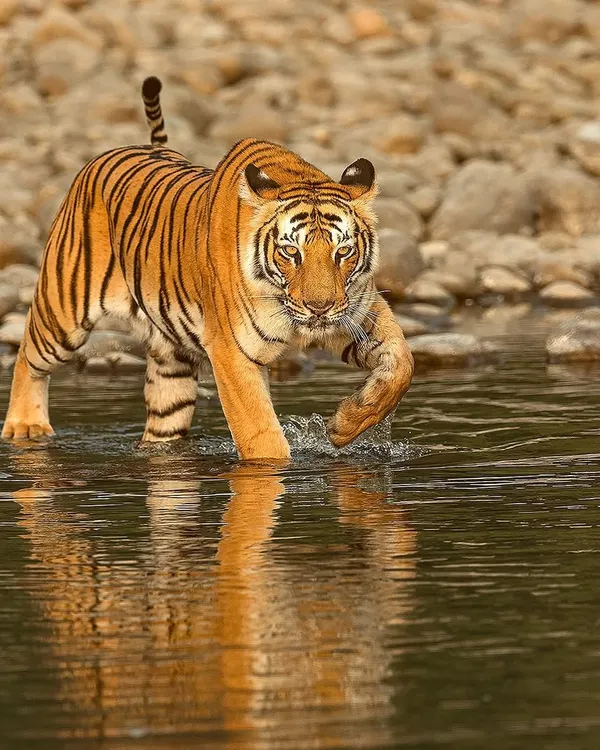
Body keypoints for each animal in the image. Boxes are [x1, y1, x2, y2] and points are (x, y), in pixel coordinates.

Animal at [2, 76, 414, 460]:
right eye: (290, 252)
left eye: (343, 251)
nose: (320, 307)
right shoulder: (232, 351)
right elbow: (260, 435)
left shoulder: (357, 311)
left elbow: (401, 364)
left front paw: (344, 426)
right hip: (62, 311)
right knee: (27, 357)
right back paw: (26, 428)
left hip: (171, 364)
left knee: (163, 419)